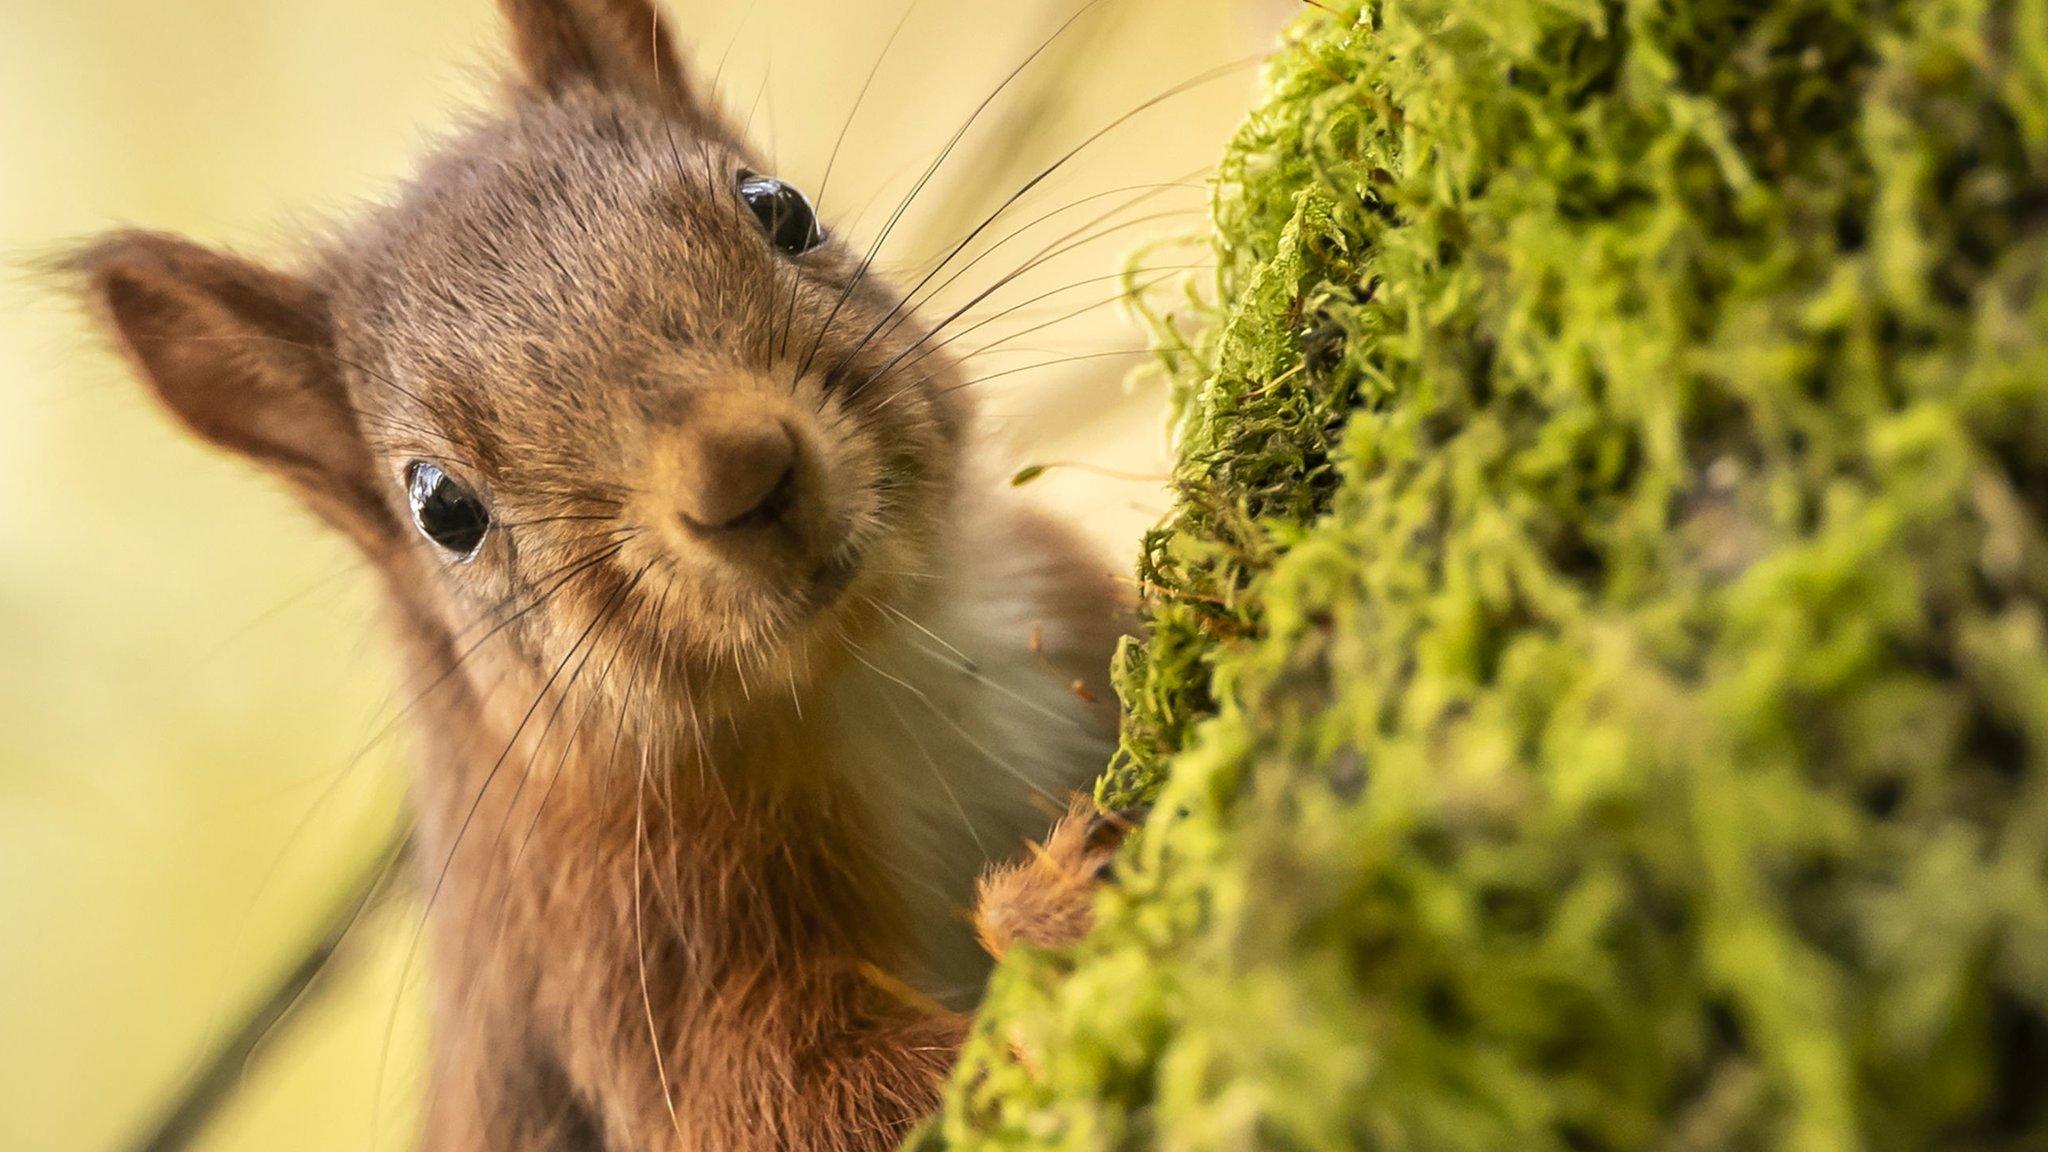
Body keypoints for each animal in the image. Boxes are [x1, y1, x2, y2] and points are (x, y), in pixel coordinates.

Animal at [79, 4, 1130, 1139]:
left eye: (780, 206)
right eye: (439, 508)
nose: (740, 470)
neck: (874, 669)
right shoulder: (614, 954)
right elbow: (785, 1100)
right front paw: (1052, 920)